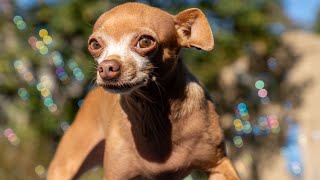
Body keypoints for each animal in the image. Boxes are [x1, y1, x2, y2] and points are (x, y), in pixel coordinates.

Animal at [46, 2, 239, 180]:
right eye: (95, 44)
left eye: (145, 41)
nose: (106, 67)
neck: (153, 110)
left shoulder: (218, 166)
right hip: (64, 167)